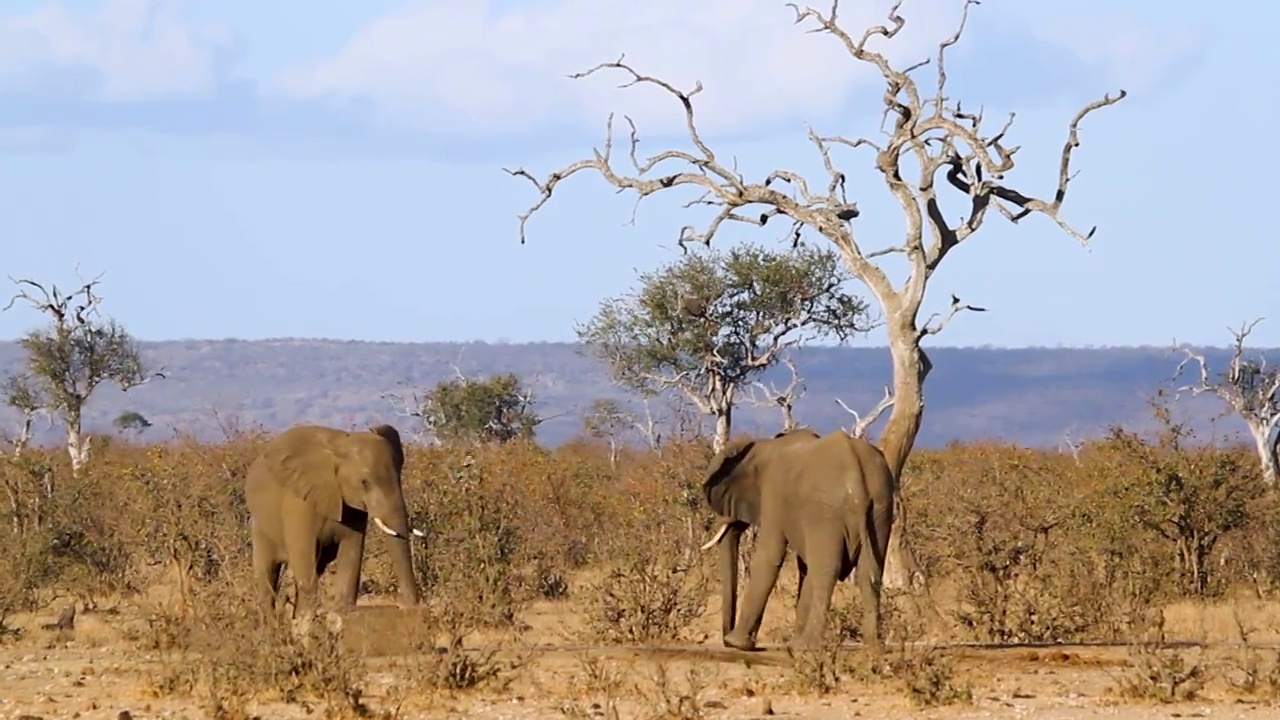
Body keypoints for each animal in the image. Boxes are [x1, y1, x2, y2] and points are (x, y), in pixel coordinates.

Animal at [239, 420, 419, 617]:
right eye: (364, 482)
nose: (407, 606)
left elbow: (351, 552)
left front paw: (342, 610)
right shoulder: (299, 503)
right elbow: (304, 557)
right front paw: (307, 619)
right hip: (259, 525)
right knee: (267, 572)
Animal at [696, 425, 896, 650]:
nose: (725, 640)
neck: (764, 445)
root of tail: (856, 477)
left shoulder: (774, 494)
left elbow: (770, 556)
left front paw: (739, 644)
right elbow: (804, 566)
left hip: (826, 512)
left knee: (826, 572)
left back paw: (806, 646)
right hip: (880, 508)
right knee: (869, 571)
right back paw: (872, 647)